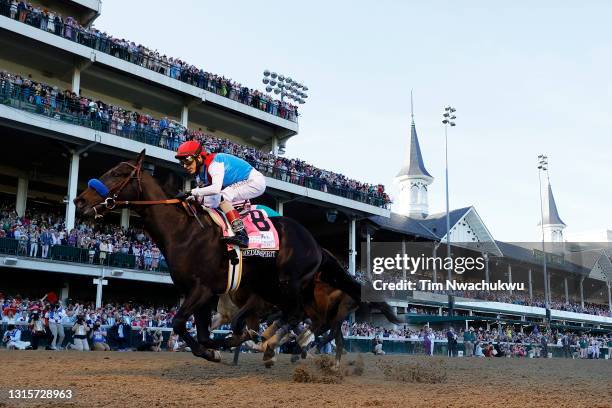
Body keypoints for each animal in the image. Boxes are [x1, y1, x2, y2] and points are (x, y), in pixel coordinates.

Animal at [75, 151, 402, 362]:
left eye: (118, 173)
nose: (79, 200)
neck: (184, 231)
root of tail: (317, 244)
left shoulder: (204, 288)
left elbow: (181, 323)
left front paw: (223, 346)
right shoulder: (204, 294)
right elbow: (201, 330)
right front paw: (214, 348)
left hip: (290, 283)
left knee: (303, 318)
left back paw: (282, 345)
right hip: (276, 288)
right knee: (304, 320)